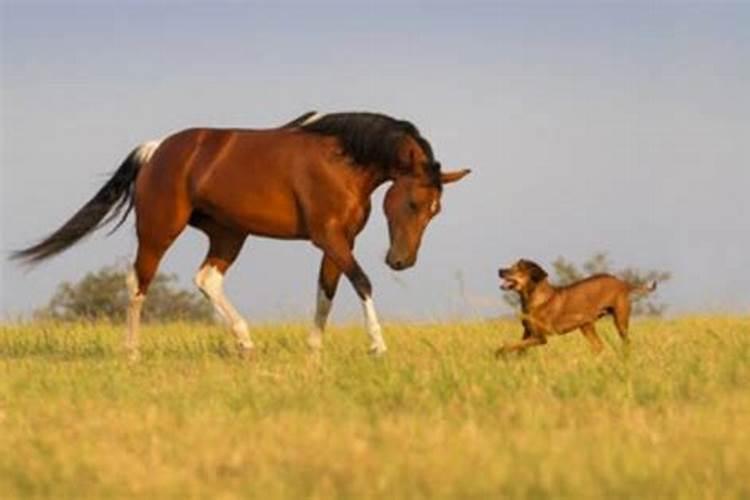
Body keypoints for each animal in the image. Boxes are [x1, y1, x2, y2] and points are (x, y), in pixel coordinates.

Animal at [13, 111, 470, 358]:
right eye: (413, 204)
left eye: (436, 210)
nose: (402, 261)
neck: (342, 160)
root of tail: (157, 150)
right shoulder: (329, 238)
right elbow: (362, 282)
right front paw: (377, 346)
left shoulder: (340, 242)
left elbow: (326, 292)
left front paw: (314, 353)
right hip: (159, 231)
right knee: (137, 282)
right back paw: (132, 352)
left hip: (229, 234)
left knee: (207, 280)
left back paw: (245, 343)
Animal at [500, 258, 656, 356]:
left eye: (516, 269)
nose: (499, 270)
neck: (534, 299)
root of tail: (623, 283)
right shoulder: (527, 332)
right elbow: (519, 347)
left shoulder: (541, 338)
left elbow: (510, 345)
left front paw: (500, 353)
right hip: (586, 325)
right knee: (599, 346)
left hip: (620, 320)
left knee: (626, 341)